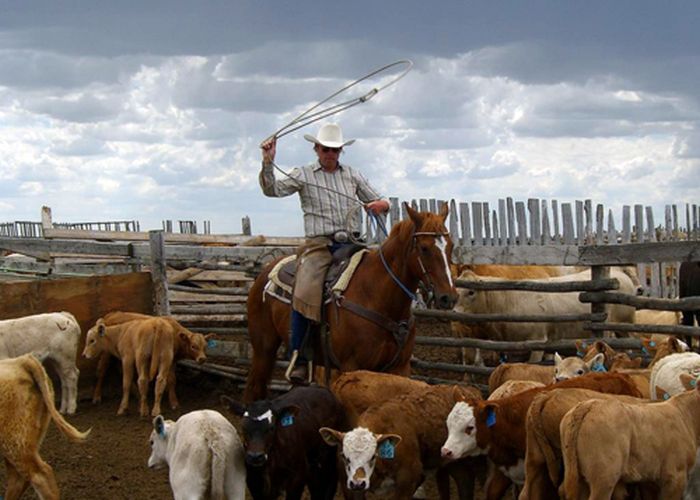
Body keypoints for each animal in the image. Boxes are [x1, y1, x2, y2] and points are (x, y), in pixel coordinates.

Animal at [243, 203, 456, 402]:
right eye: (424, 248)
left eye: (451, 246)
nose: (449, 297)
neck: (376, 296)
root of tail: (266, 270)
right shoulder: (351, 366)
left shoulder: (399, 367)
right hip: (264, 348)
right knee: (255, 388)